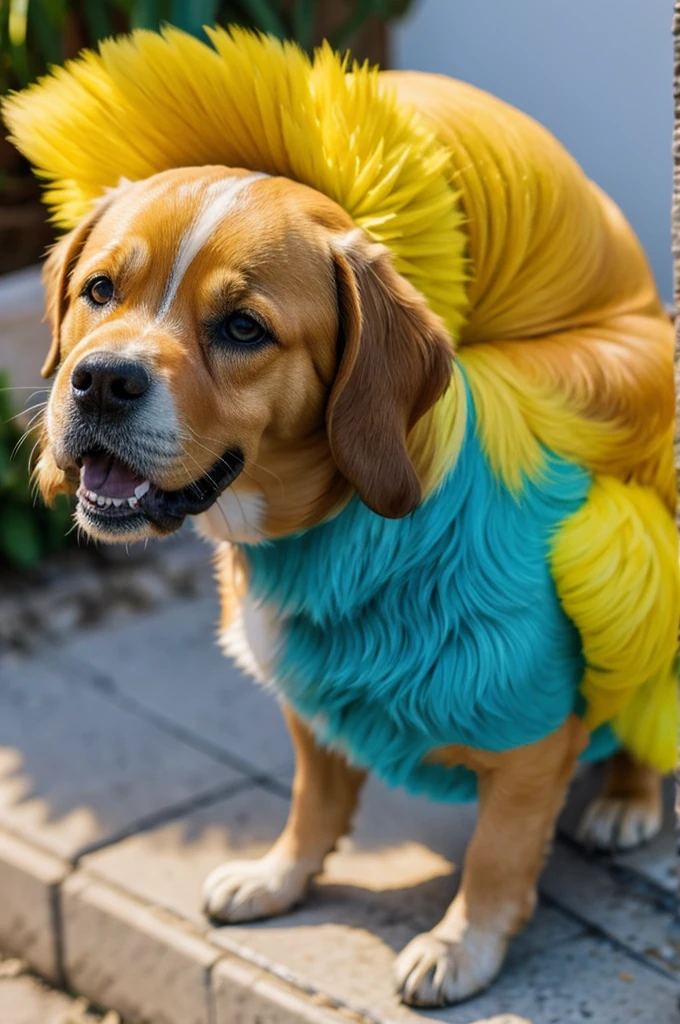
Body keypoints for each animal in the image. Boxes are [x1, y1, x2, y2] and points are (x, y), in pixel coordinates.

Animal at [6, 32, 680, 1007]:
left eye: (243, 328)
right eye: (99, 290)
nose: (99, 379)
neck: (336, 535)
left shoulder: (530, 733)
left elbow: (497, 856)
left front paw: (463, 944)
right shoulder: (311, 701)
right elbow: (313, 800)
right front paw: (280, 879)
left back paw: (628, 799)